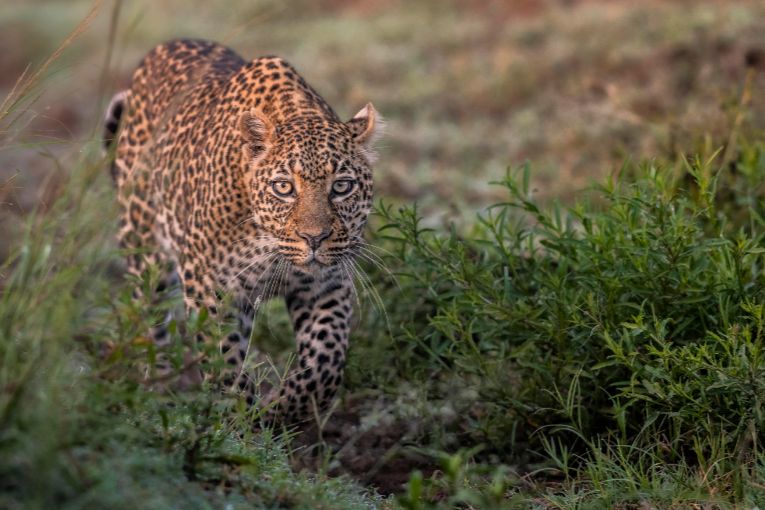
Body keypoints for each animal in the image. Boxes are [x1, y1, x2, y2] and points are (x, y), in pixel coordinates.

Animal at [103, 39, 382, 426]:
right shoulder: (209, 286)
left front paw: (282, 410)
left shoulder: (327, 283)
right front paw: (239, 420)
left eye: (342, 187)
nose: (314, 239)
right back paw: (156, 393)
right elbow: (224, 359)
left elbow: (325, 362)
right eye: (284, 187)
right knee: (150, 323)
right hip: (145, 253)